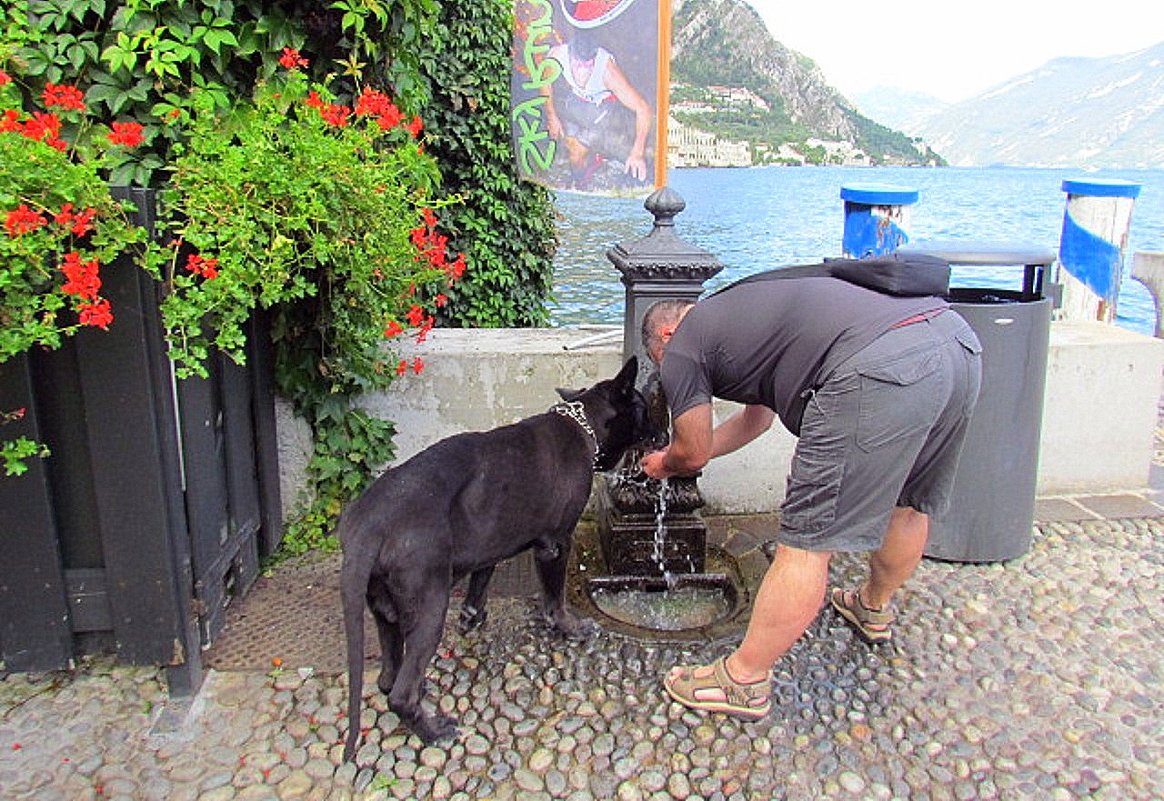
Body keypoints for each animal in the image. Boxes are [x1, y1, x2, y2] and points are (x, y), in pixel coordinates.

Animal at [342, 356, 656, 759]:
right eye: (643, 406)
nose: (664, 431)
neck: (581, 423)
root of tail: (368, 527)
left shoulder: (488, 543)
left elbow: (482, 580)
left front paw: (473, 617)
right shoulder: (556, 544)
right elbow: (555, 598)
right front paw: (570, 627)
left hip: (385, 612)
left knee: (387, 678)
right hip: (429, 607)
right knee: (400, 693)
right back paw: (434, 731)